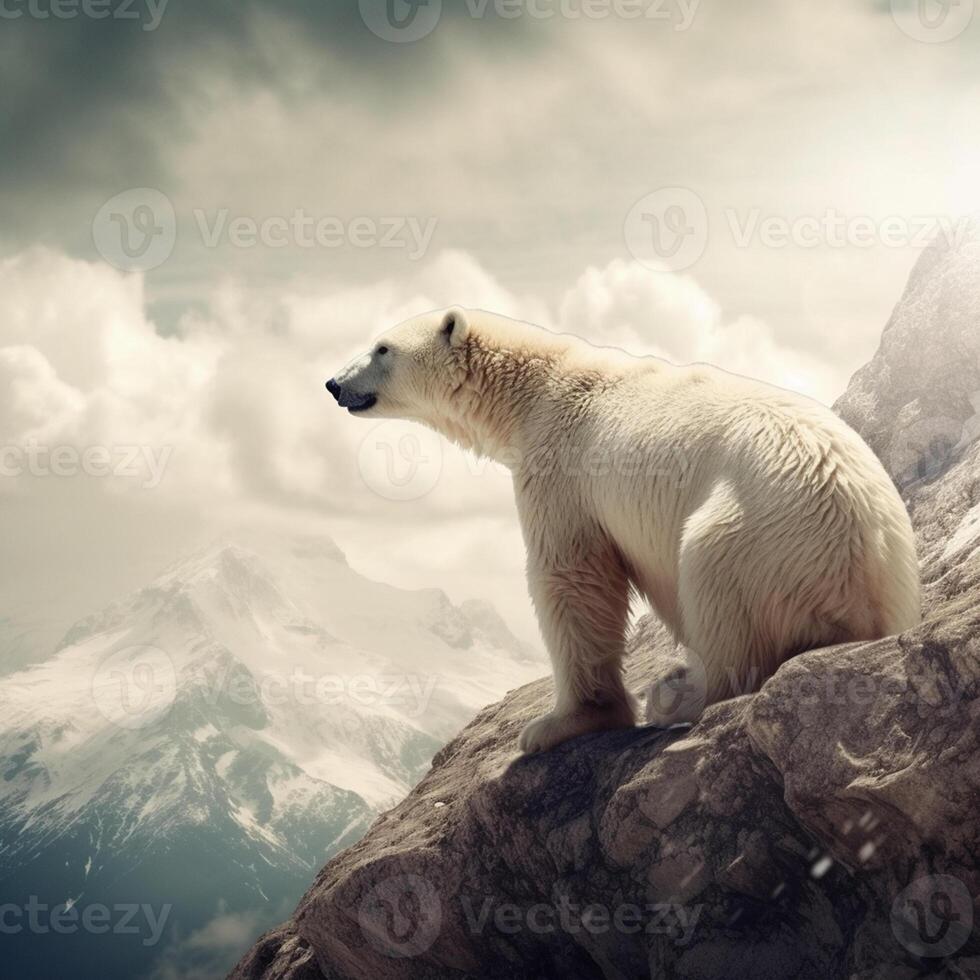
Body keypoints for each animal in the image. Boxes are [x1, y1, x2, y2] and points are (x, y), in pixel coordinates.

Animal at [326, 310, 924, 756]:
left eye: (381, 348)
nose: (333, 383)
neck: (536, 389)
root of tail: (859, 578)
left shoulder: (562, 467)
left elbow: (571, 575)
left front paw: (560, 722)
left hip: (756, 534)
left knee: (717, 596)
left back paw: (679, 693)